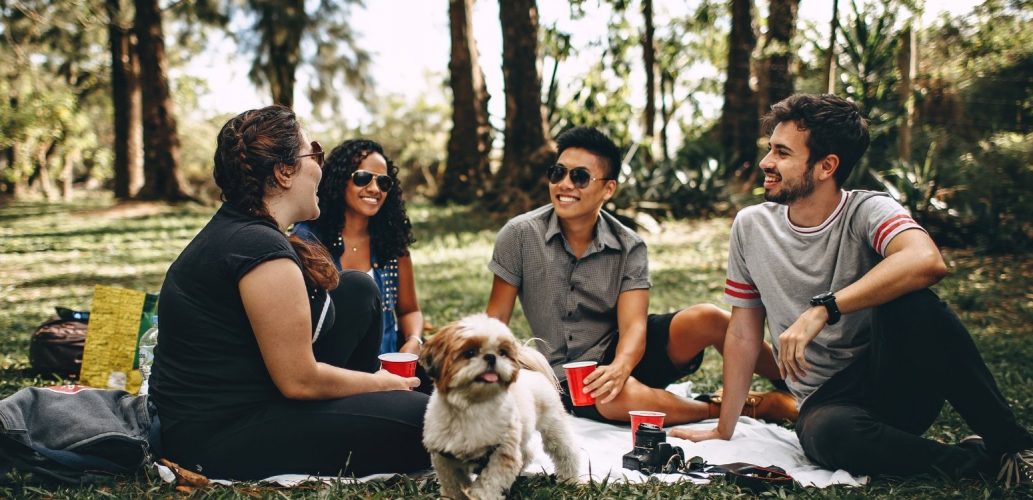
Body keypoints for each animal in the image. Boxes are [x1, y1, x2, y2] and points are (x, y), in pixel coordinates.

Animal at [419, 314, 582, 497]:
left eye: (502, 353)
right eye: (469, 352)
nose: (491, 357)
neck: (472, 406)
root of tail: (531, 370)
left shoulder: (502, 452)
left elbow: (488, 484)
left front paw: (478, 495)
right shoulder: (444, 458)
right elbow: (452, 485)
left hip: (553, 426)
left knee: (566, 452)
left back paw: (570, 480)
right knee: (526, 454)